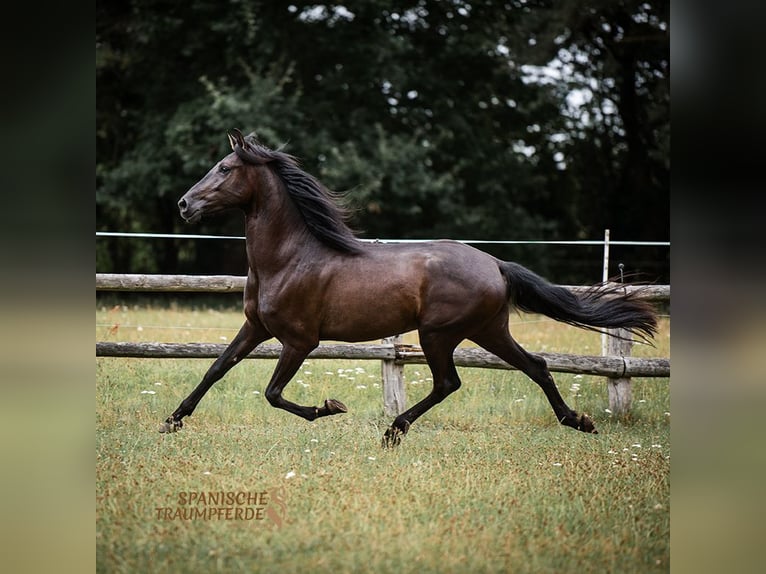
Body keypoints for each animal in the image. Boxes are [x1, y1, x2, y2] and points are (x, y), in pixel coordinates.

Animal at [159, 128, 656, 448]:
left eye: (225, 168)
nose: (183, 204)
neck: (290, 258)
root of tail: (496, 264)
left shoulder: (299, 340)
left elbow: (273, 393)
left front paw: (331, 407)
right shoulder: (255, 328)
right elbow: (215, 369)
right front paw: (171, 422)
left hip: (438, 334)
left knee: (449, 382)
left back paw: (393, 431)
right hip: (488, 330)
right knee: (535, 365)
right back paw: (579, 422)